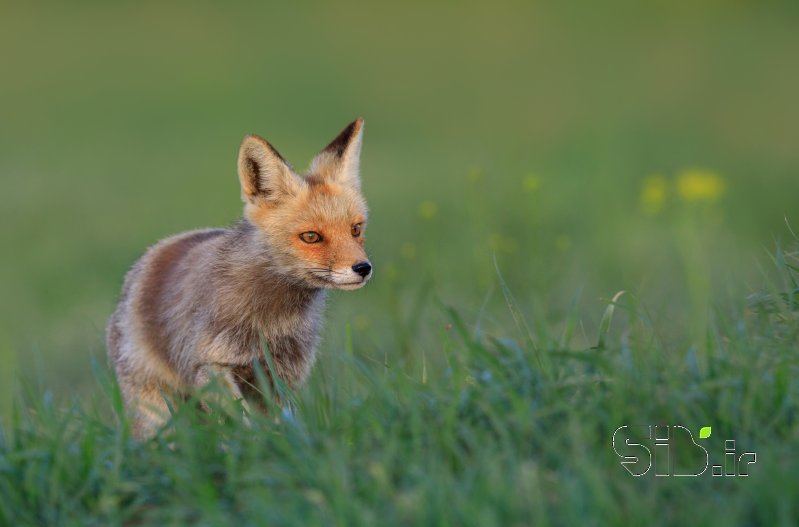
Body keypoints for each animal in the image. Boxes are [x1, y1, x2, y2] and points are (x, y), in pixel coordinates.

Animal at [104, 121, 376, 440]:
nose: (363, 268)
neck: (271, 320)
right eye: (311, 237)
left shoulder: (281, 375)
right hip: (156, 409)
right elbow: (238, 420)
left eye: (356, 229)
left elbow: (277, 423)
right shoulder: (209, 364)